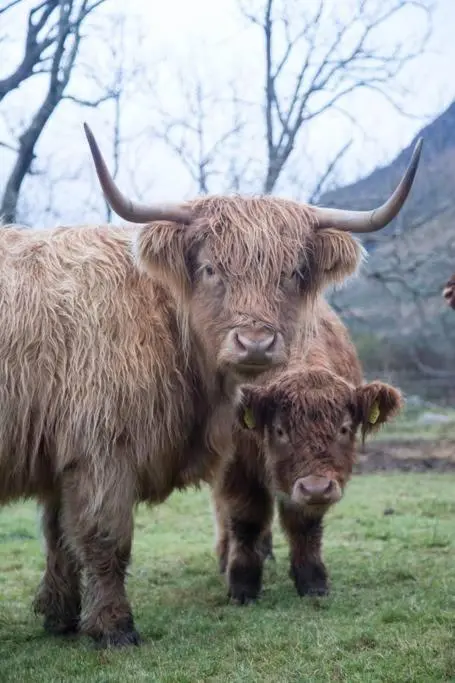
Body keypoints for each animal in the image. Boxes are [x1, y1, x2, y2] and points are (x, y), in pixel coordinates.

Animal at [212, 302, 402, 603]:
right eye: (279, 430)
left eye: (344, 428)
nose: (315, 488)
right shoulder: (238, 469)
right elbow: (245, 520)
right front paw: (243, 587)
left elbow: (305, 525)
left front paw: (313, 581)